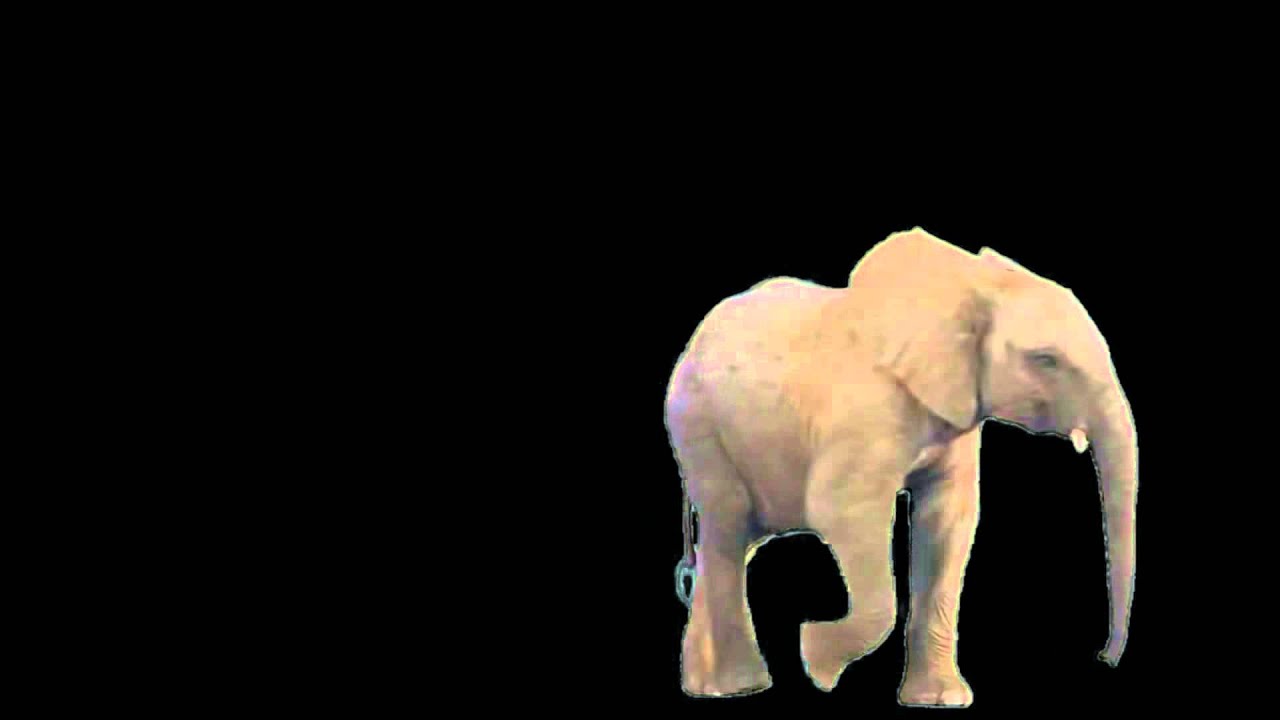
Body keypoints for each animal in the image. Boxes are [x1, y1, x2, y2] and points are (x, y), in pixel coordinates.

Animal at [665, 228, 1137, 705]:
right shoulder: (864, 410)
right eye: (1046, 360)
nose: (1103, 658)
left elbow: (947, 521)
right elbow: (842, 512)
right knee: (727, 523)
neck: (966, 281)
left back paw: (707, 687)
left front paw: (942, 700)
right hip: (699, 427)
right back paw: (740, 687)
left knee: (733, 540)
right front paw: (817, 663)